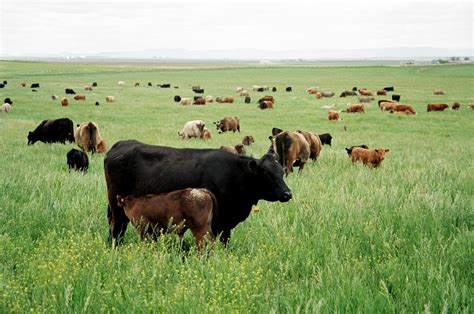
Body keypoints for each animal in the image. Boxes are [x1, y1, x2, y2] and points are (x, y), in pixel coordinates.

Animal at [103, 140, 292, 245]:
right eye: (266, 174)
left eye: (281, 172)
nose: (287, 193)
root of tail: (120, 144)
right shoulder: (218, 221)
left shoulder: (226, 223)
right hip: (117, 206)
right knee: (117, 229)